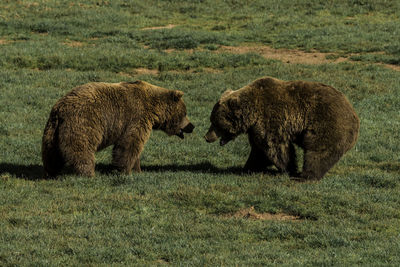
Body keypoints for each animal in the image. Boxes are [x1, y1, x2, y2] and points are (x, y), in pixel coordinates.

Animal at [41, 80, 195, 179]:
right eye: (185, 113)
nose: (192, 126)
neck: (154, 109)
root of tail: (60, 108)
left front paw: (137, 170)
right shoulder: (137, 118)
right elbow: (129, 144)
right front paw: (124, 170)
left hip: (52, 130)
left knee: (51, 152)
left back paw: (51, 171)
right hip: (83, 122)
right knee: (81, 148)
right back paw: (88, 173)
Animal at [205, 77, 358, 182]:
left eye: (215, 123)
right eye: (212, 120)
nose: (207, 137)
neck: (251, 114)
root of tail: (353, 113)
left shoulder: (271, 119)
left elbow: (276, 148)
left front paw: (289, 169)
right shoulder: (255, 129)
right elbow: (259, 151)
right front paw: (248, 167)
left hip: (327, 124)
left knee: (318, 152)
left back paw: (305, 176)